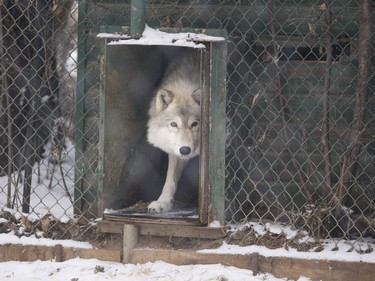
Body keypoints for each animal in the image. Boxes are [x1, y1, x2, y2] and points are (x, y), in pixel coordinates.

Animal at [147, 51, 201, 211]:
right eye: (173, 124)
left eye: (194, 124)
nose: (185, 150)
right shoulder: (175, 152)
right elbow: (169, 180)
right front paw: (162, 202)